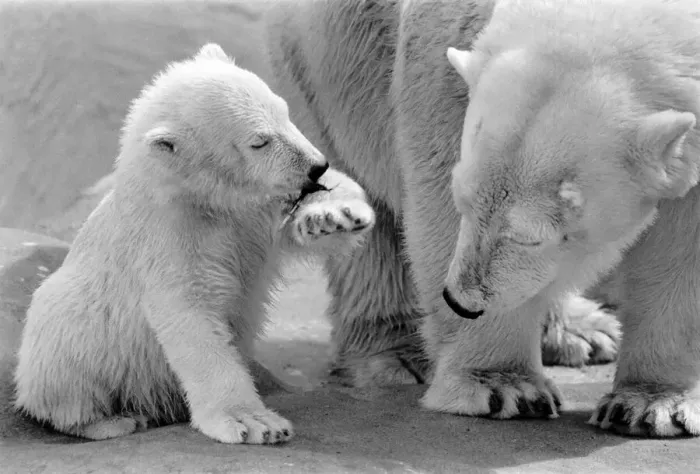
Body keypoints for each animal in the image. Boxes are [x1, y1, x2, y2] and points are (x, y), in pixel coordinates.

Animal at [13, 43, 376, 444]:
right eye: (259, 141)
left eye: (285, 113)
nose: (317, 165)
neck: (201, 199)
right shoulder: (169, 237)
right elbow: (192, 315)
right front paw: (255, 422)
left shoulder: (251, 215)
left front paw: (330, 216)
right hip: (70, 329)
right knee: (64, 362)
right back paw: (112, 421)